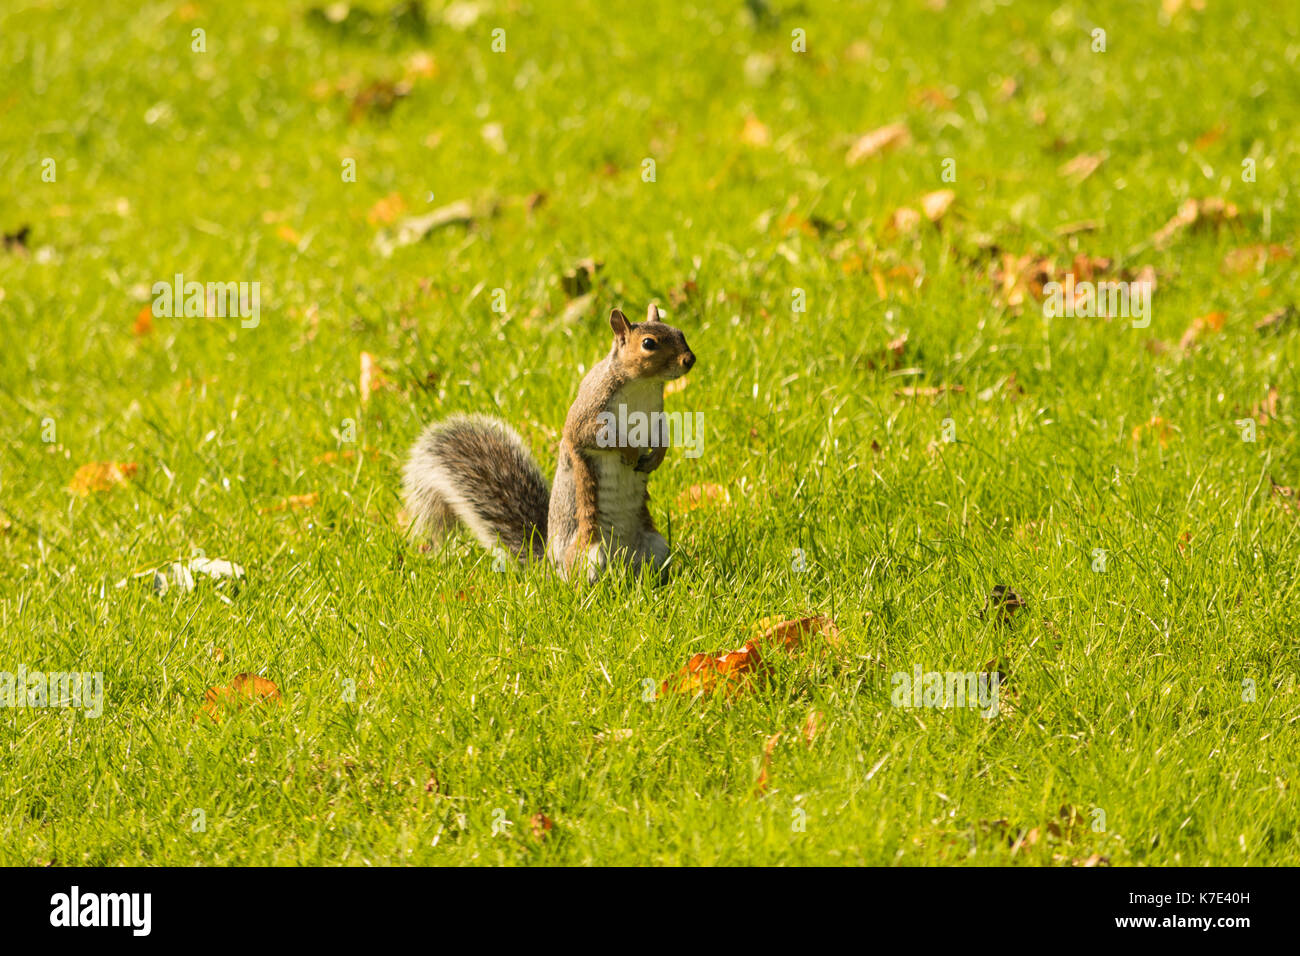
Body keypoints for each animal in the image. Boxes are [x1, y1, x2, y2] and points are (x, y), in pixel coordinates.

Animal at [400, 304, 696, 582]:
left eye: (680, 332)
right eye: (648, 343)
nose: (689, 360)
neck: (642, 385)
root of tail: (551, 568)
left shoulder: (655, 414)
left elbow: (662, 434)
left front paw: (656, 456)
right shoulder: (588, 414)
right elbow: (594, 436)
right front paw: (630, 451)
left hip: (656, 546)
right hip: (589, 555)